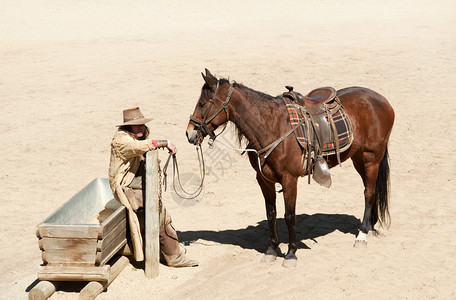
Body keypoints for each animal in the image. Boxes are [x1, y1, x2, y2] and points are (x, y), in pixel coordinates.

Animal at [187, 69, 394, 268]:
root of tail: (381, 99)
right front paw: (271, 250)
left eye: (203, 103)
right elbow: (271, 214)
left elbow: (289, 216)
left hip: (371, 157)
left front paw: (291, 253)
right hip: (358, 157)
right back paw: (370, 226)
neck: (272, 127)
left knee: (369, 193)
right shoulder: (263, 179)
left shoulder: (289, 179)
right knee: (372, 191)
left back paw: (362, 234)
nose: (189, 133)